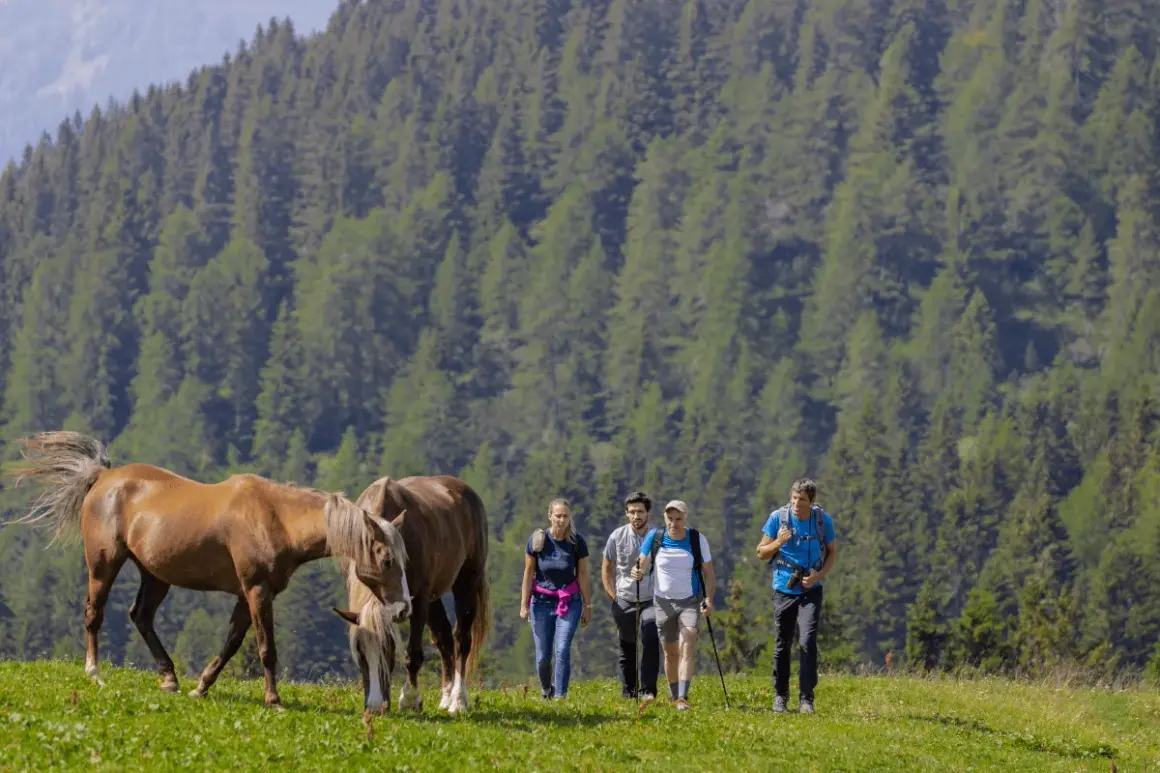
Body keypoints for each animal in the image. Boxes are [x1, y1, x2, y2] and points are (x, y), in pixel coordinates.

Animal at [2, 431, 411, 709]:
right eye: (387, 560)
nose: (403, 609)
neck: (276, 517)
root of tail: (103, 478)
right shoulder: (257, 591)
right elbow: (266, 648)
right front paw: (274, 699)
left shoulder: (249, 595)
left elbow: (232, 643)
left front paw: (201, 685)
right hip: (104, 563)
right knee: (94, 613)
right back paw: (95, 674)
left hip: (155, 575)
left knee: (141, 616)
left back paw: (169, 678)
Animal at [331, 475, 490, 714]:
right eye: (359, 652)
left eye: (388, 650)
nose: (376, 707)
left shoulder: (420, 599)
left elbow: (413, 653)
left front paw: (410, 699)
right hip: (434, 598)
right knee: (444, 638)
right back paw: (446, 697)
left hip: (467, 581)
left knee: (462, 639)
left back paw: (458, 700)